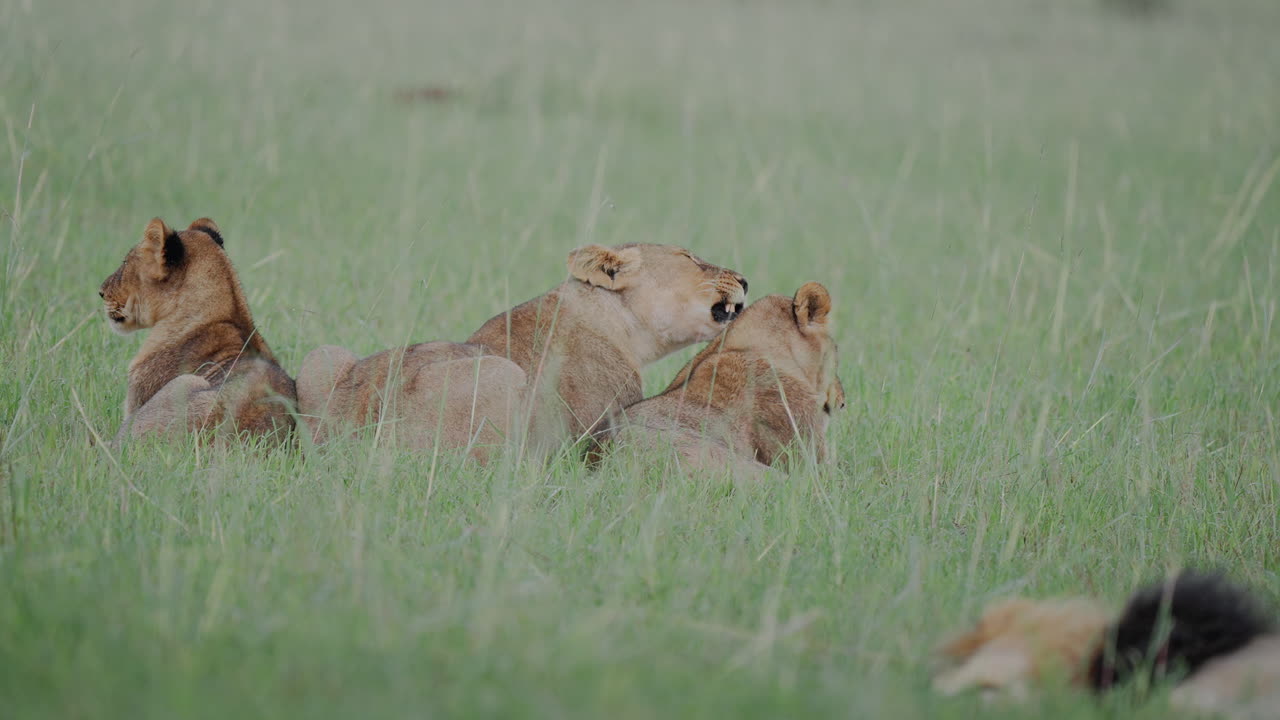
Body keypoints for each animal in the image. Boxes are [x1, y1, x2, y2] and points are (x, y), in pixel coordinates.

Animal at [296, 243, 747, 461]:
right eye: (688, 257)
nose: (744, 279)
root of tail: (343, 448)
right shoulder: (606, 420)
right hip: (501, 375)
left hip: (322, 356)